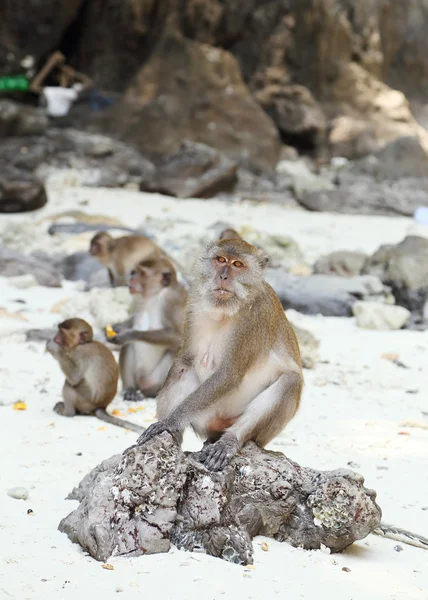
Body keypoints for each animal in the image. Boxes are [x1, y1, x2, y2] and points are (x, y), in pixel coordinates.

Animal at [108, 255, 187, 400]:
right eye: (135, 272)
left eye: (142, 273)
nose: (131, 279)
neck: (154, 294)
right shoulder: (137, 299)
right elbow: (132, 322)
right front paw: (118, 327)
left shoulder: (172, 300)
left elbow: (178, 337)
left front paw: (129, 334)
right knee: (128, 345)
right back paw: (130, 389)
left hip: (153, 381)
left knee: (175, 351)